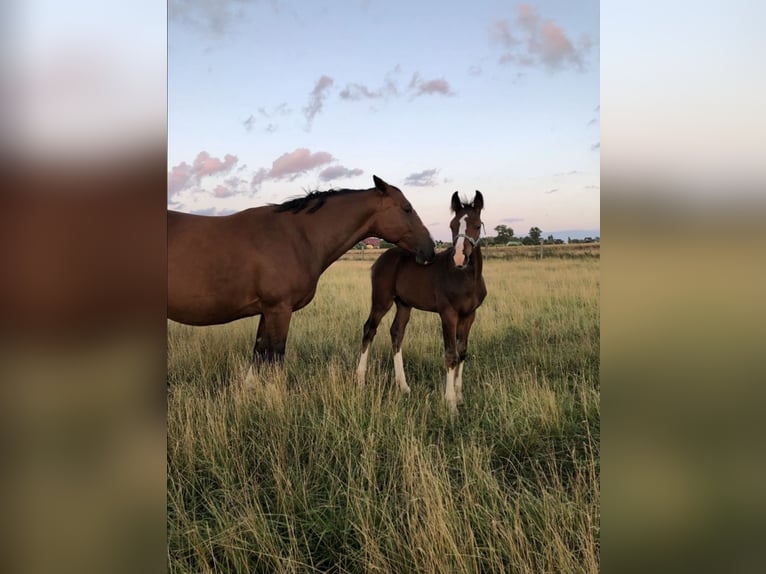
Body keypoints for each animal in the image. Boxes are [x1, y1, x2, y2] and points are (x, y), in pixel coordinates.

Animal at [168, 175, 436, 383]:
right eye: (407, 208)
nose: (430, 249)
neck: (298, 236)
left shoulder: (267, 311)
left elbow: (258, 352)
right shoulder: (279, 309)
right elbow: (276, 358)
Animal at [356, 190, 486, 414]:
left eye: (477, 225)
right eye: (452, 225)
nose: (459, 258)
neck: (466, 277)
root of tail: (382, 258)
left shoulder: (469, 315)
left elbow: (462, 352)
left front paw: (460, 396)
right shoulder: (448, 314)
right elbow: (451, 354)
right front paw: (451, 404)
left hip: (404, 304)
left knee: (397, 333)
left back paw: (403, 386)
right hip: (382, 300)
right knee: (369, 329)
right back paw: (361, 380)